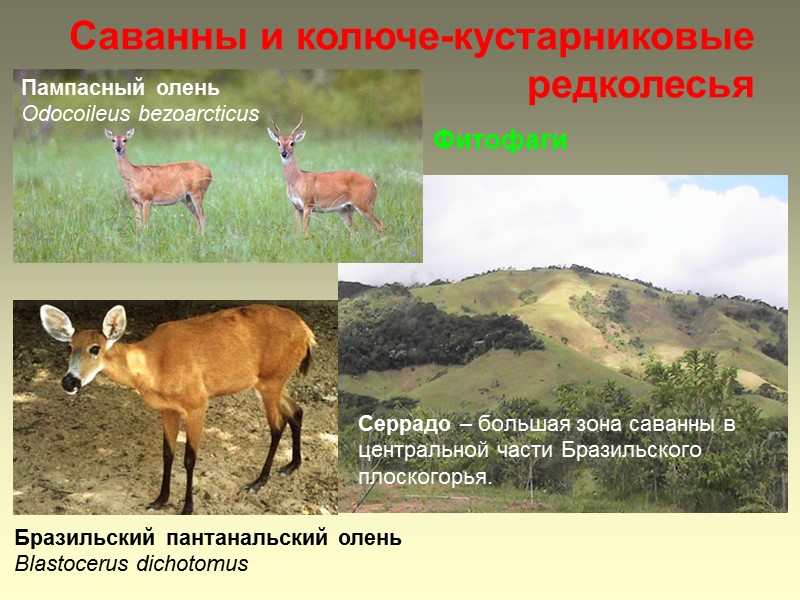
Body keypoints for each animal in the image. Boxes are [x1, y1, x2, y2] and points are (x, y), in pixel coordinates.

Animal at [40, 303, 316, 515]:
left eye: (95, 348)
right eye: (69, 347)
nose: (69, 381)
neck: (153, 365)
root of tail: (307, 332)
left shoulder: (197, 403)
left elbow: (189, 458)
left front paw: (187, 507)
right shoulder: (168, 409)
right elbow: (167, 453)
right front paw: (159, 500)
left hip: (271, 379)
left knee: (277, 424)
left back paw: (258, 481)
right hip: (272, 381)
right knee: (297, 411)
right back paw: (291, 465)